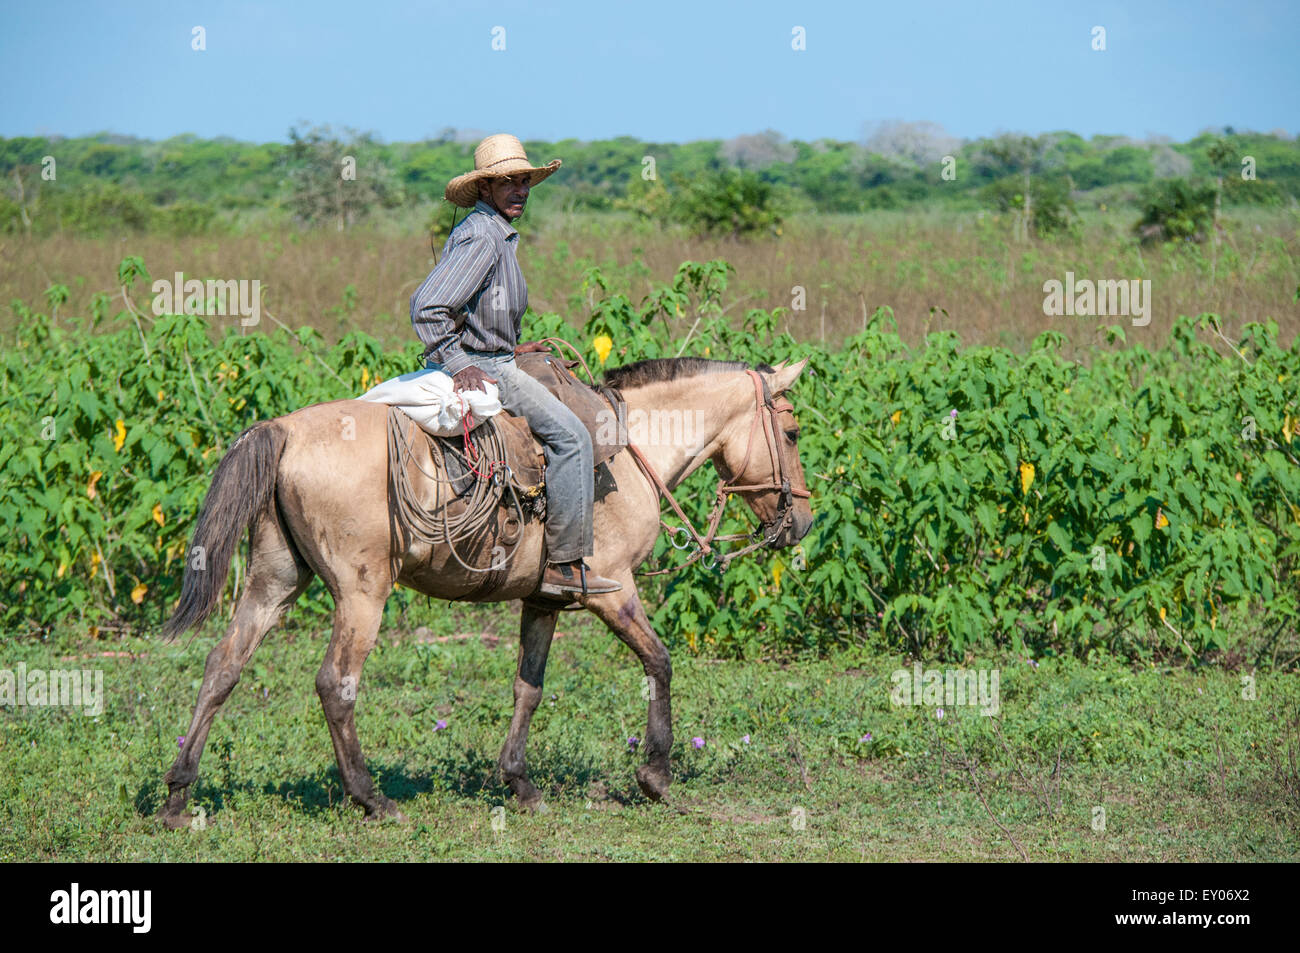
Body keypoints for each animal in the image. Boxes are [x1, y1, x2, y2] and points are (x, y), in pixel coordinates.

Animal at [157, 356, 811, 826]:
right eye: (793, 431)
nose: (802, 522)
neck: (629, 452)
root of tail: (283, 429)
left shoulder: (545, 598)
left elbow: (529, 687)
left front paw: (520, 782)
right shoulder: (611, 590)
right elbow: (660, 663)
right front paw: (655, 777)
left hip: (275, 581)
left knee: (223, 665)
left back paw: (177, 797)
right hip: (361, 595)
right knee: (335, 684)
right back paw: (372, 799)